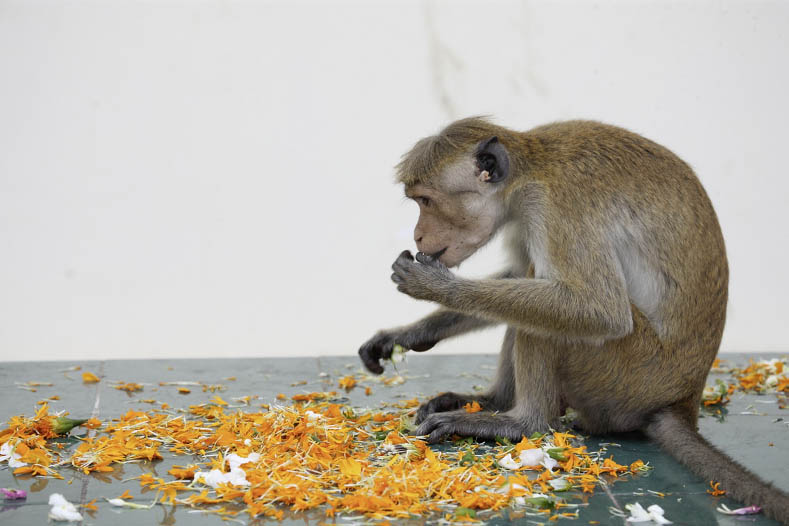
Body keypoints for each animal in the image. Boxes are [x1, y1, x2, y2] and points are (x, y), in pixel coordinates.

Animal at [358, 117, 788, 524]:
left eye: (426, 201)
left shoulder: (556, 206)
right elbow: (519, 274)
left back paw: (521, 423)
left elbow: (600, 310)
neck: (529, 171)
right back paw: (493, 401)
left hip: (625, 374)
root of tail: (683, 400)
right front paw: (409, 334)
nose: (418, 234)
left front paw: (435, 286)